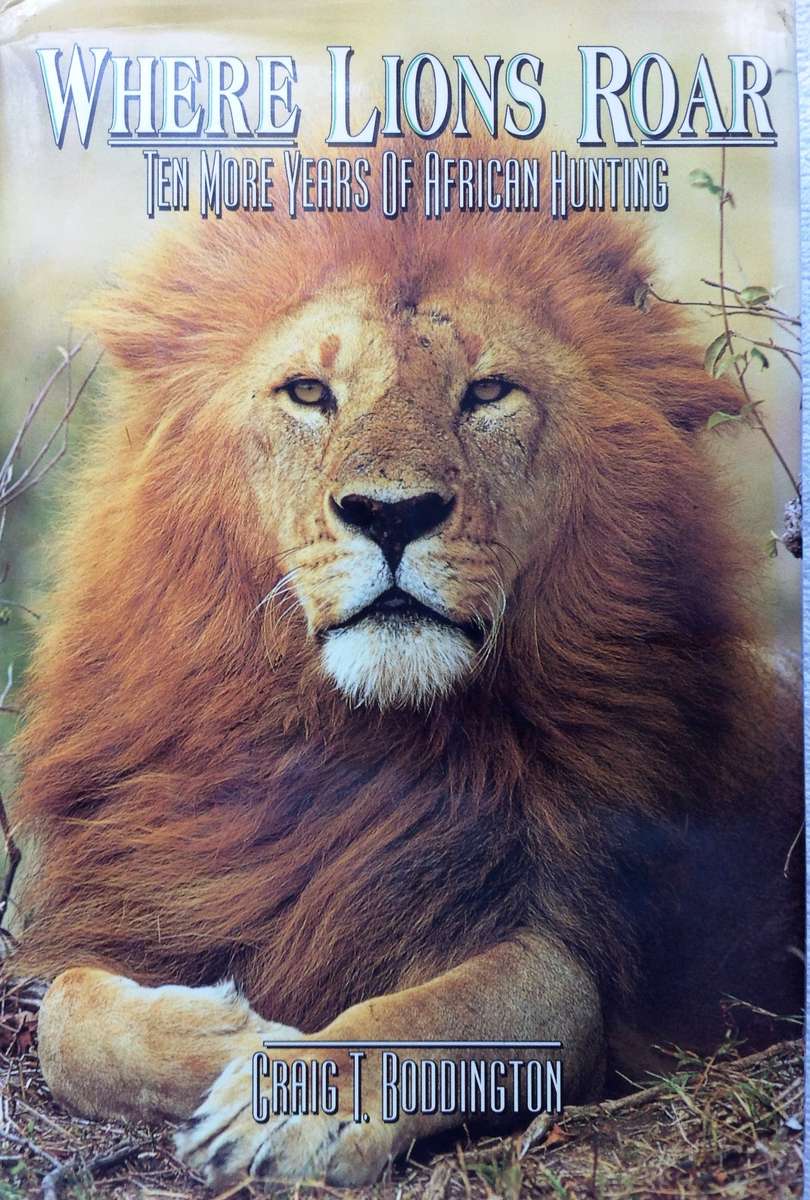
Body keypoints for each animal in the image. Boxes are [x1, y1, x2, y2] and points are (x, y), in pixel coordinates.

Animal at [8, 132, 803, 1188]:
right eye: (310, 393)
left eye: (488, 392)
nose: (392, 514)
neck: (355, 735)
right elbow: (65, 1014)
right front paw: (235, 1034)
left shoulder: (562, 947)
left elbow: (443, 1013)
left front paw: (292, 1092)